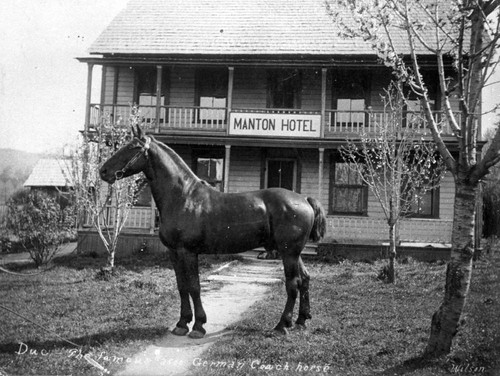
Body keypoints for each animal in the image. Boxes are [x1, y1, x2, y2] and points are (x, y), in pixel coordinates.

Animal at [100, 125, 328, 338]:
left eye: (133, 147)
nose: (103, 171)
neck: (183, 197)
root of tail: (304, 199)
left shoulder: (188, 252)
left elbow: (194, 286)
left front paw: (198, 326)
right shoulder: (174, 253)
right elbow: (182, 286)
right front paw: (182, 323)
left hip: (288, 253)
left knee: (293, 284)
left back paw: (282, 325)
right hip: (293, 252)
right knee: (305, 279)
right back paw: (301, 320)